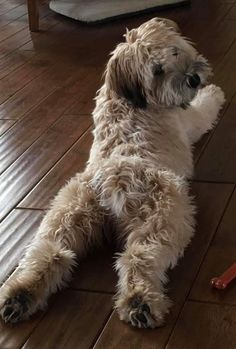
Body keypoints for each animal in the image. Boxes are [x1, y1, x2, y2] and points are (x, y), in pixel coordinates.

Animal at [0, 18, 225, 328]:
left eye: (174, 51)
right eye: (157, 70)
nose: (192, 78)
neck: (127, 98)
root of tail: (113, 187)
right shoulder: (190, 118)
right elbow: (205, 108)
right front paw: (215, 92)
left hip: (66, 215)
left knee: (49, 252)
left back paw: (20, 296)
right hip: (166, 216)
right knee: (139, 257)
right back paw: (141, 302)